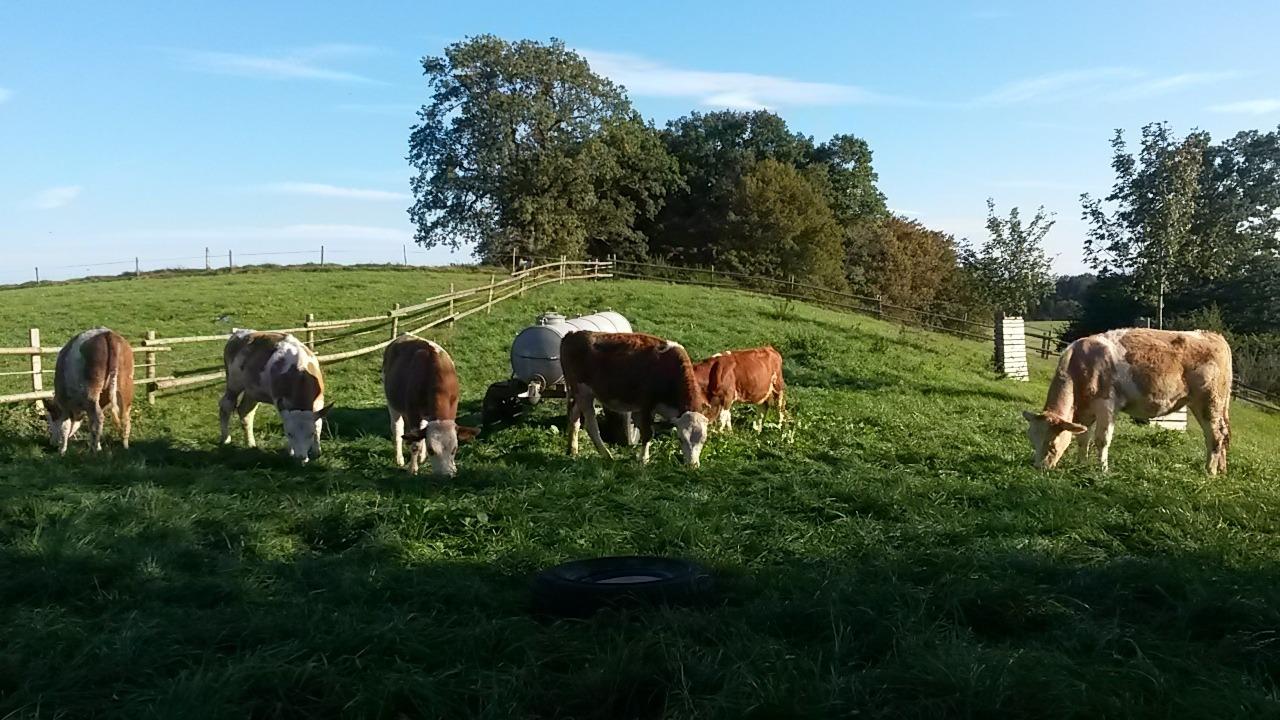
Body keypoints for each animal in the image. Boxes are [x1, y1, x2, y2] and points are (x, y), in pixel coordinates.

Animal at [219, 329, 331, 462]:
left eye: (311, 434)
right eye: (289, 434)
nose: (301, 458)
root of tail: (239, 333)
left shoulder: (319, 402)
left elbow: (318, 424)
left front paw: (317, 451)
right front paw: (290, 451)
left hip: (253, 391)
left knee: (245, 411)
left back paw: (250, 443)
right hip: (233, 384)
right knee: (226, 406)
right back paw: (226, 439)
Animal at [382, 334, 478, 476]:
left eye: (454, 449)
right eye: (432, 450)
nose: (446, 474)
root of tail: (403, 335)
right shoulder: (413, 413)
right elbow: (415, 444)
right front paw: (412, 468)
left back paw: (421, 457)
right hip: (392, 403)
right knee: (397, 429)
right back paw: (399, 458)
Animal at [561, 331, 709, 467]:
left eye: (703, 440)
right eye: (681, 438)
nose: (692, 465)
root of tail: (572, 334)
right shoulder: (647, 404)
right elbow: (648, 433)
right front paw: (644, 460)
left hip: (580, 393)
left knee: (574, 417)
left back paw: (572, 450)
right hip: (583, 392)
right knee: (591, 426)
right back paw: (607, 455)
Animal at [1023, 328, 1232, 475]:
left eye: (1052, 444)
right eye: (1032, 440)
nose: (1038, 467)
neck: (1082, 366)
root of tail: (1213, 335)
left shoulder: (1106, 405)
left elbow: (1101, 439)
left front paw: (1102, 470)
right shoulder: (1085, 411)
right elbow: (1083, 438)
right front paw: (1081, 463)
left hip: (1210, 402)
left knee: (1215, 435)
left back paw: (1210, 471)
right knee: (1221, 434)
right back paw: (1221, 469)